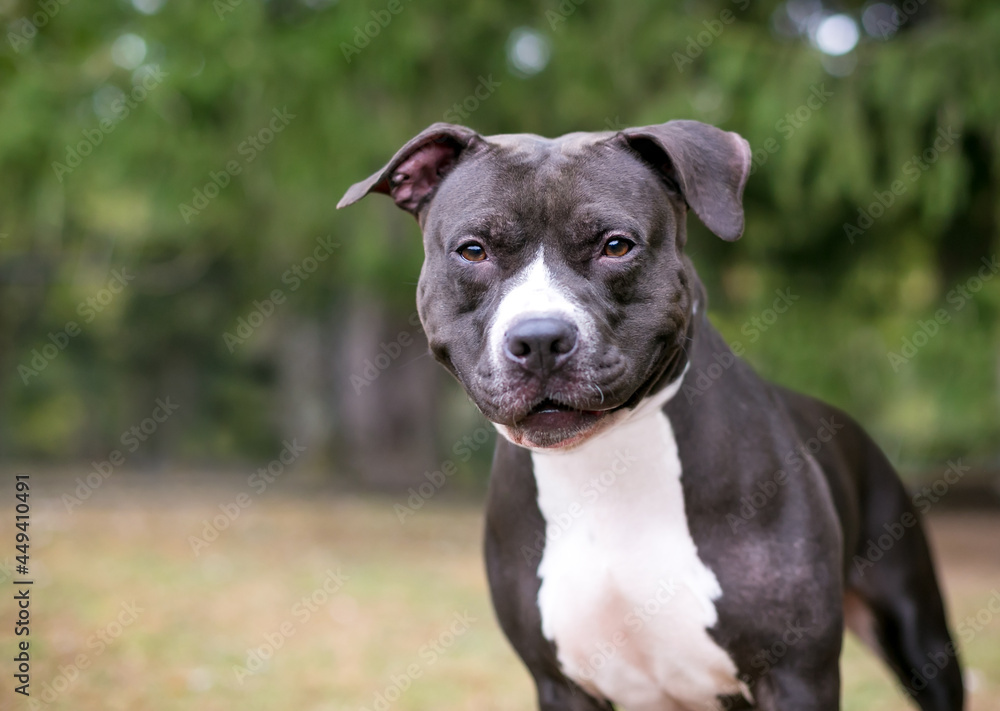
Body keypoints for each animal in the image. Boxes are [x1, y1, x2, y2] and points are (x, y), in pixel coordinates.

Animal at [340, 119, 964, 708]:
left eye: (617, 246)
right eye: (473, 250)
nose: (539, 339)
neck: (606, 463)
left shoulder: (796, 675)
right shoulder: (561, 684)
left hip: (920, 637)